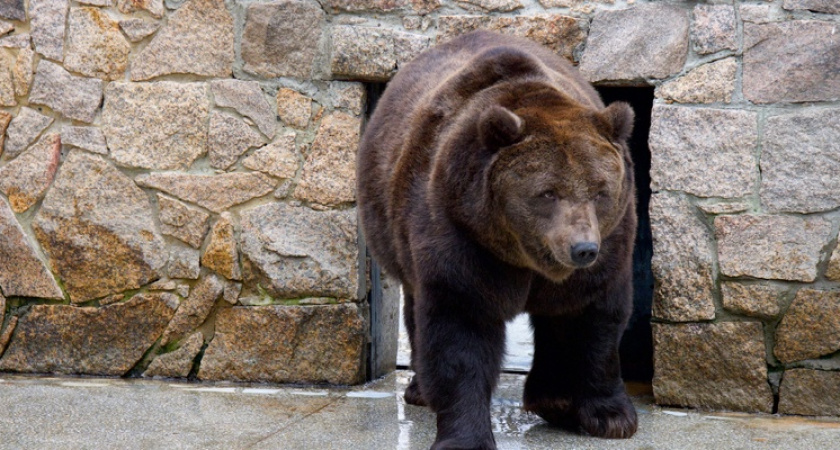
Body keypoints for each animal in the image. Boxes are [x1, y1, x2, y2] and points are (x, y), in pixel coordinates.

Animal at [354, 29, 636, 448]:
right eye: (547, 192)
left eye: (600, 190)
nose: (582, 248)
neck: (524, 255)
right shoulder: (460, 232)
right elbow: (461, 328)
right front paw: (465, 437)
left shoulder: (612, 240)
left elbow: (594, 316)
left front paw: (608, 416)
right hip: (392, 227)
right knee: (417, 307)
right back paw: (420, 389)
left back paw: (551, 396)